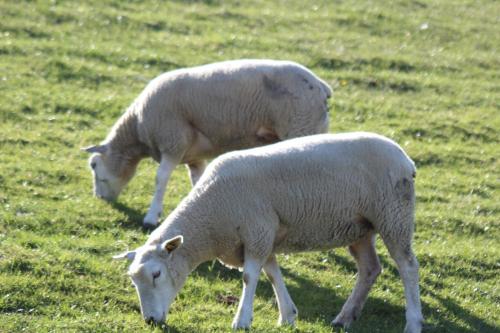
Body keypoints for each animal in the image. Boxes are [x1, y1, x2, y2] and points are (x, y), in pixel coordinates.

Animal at [82, 59, 332, 226]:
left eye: (94, 165)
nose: (99, 198)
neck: (137, 127)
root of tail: (321, 86)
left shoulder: (173, 141)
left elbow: (160, 179)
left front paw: (151, 217)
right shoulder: (193, 156)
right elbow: (198, 182)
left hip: (300, 127)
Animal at [115, 132, 424, 332]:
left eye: (156, 274)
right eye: (133, 280)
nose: (150, 321)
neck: (212, 212)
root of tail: (405, 159)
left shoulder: (257, 230)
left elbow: (250, 276)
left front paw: (241, 321)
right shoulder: (263, 236)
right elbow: (272, 273)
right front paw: (287, 316)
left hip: (393, 214)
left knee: (408, 266)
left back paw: (413, 322)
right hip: (360, 227)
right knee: (370, 269)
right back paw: (344, 318)